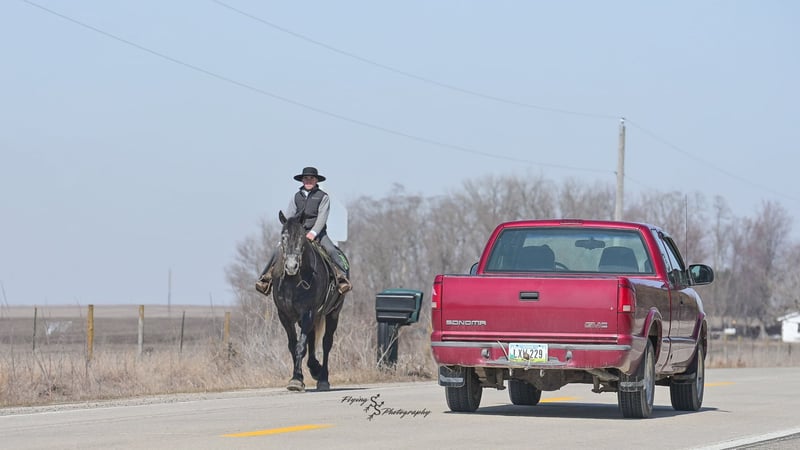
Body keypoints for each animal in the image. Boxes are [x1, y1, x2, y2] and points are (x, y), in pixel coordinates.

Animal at [271, 210, 346, 392]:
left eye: (302, 237)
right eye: (283, 236)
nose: (291, 266)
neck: (293, 281)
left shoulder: (308, 312)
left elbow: (301, 346)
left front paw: (297, 380)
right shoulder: (284, 315)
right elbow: (293, 346)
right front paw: (297, 378)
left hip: (333, 313)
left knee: (326, 343)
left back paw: (323, 378)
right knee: (312, 339)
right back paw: (314, 368)